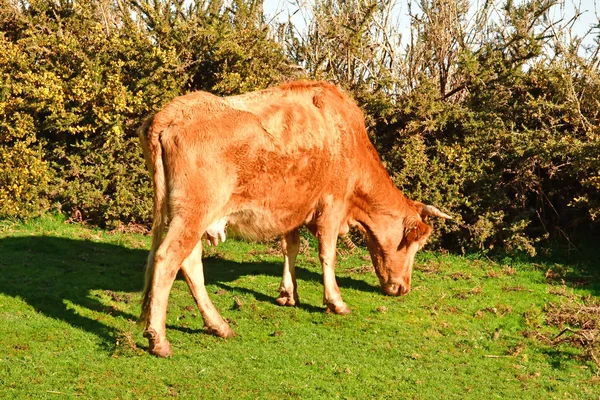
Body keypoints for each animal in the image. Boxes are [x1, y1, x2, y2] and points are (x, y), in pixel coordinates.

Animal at [138, 80, 452, 356]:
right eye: (414, 246)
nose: (403, 288)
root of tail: (173, 111)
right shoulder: (332, 204)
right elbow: (327, 253)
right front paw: (336, 302)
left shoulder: (292, 207)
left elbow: (291, 247)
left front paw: (288, 294)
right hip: (194, 212)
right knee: (168, 258)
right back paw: (159, 340)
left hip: (183, 214)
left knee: (189, 263)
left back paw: (218, 326)